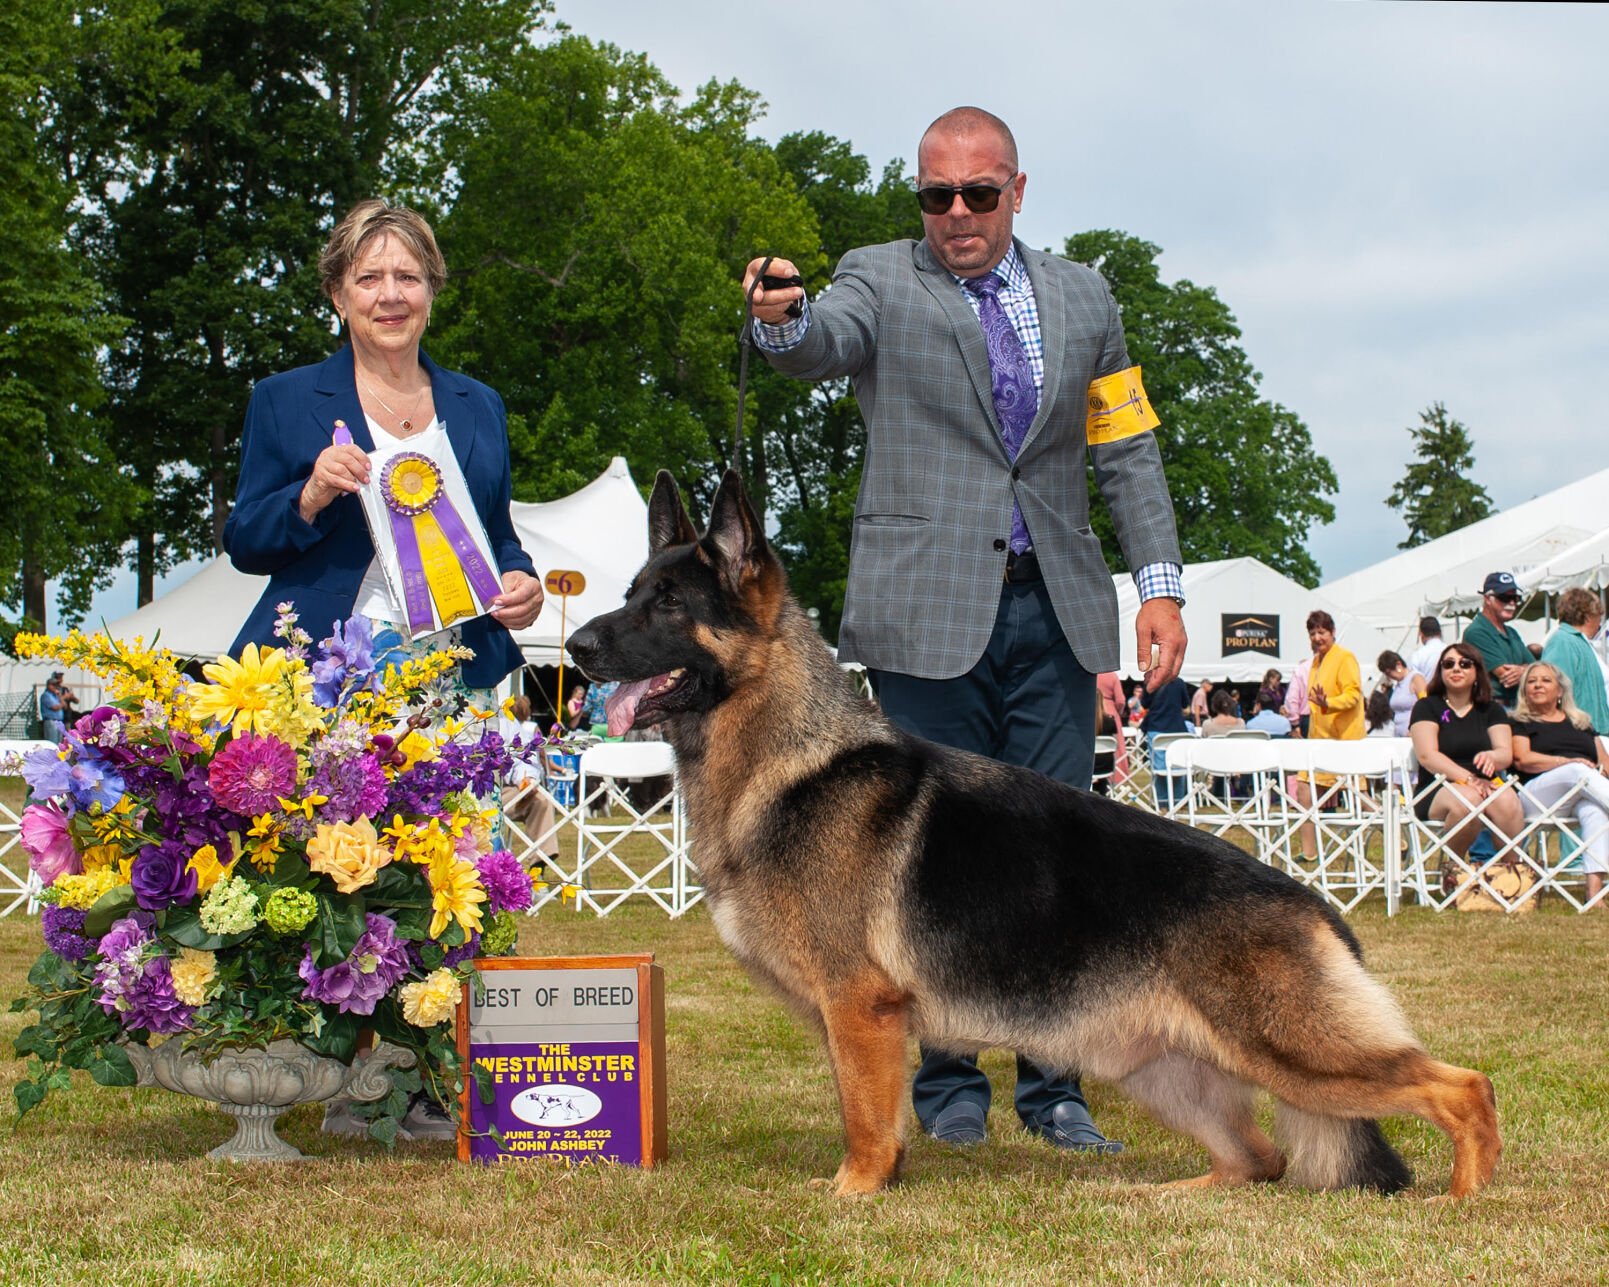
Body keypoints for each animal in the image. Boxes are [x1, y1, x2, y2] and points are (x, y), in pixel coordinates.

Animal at [563, 476, 1493, 1203]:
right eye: (630, 591)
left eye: (668, 604)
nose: (573, 644)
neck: (782, 753)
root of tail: (1316, 908)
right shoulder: (849, 1020)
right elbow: (867, 1109)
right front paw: (875, 1180)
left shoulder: (859, 1008)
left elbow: (865, 1119)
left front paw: (852, 1190)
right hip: (1167, 1071)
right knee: (1259, 1157)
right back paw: (1172, 1191)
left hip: (1290, 1047)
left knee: (1462, 1087)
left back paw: (1463, 1194)